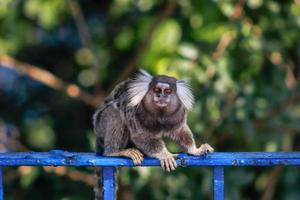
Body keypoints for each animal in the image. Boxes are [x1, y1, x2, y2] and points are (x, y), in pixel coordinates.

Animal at [94, 70, 213, 198]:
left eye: (168, 91)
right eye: (157, 90)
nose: (161, 96)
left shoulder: (179, 112)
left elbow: (181, 130)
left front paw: (195, 150)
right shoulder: (133, 109)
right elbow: (140, 135)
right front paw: (164, 154)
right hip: (101, 124)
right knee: (115, 113)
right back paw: (115, 152)